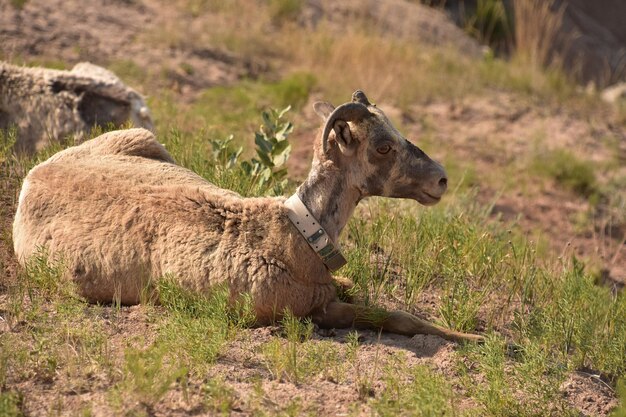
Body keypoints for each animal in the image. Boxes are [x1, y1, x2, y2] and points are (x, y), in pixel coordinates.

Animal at [13, 90, 482, 342]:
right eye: (383, 147)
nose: (440, 180)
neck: (297, 233)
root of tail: (34, 175)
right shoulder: (310, 312)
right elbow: (395, 317)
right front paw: (474, 337)